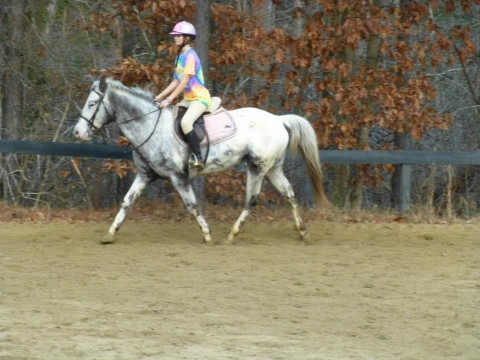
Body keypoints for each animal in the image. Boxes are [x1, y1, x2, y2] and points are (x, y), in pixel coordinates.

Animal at [73, 77, 328, 243]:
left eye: (92, 104)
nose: (77, 132)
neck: (150, 124)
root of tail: (278, 119)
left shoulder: (178, 176)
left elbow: (192, 205)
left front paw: (206, 233)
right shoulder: (145, 175)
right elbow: (127, 201)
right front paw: (110, 233)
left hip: (258, 166)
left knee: (251, 200)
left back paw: (232, 235)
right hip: (273, 168)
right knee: (289, 195)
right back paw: (302, 232)